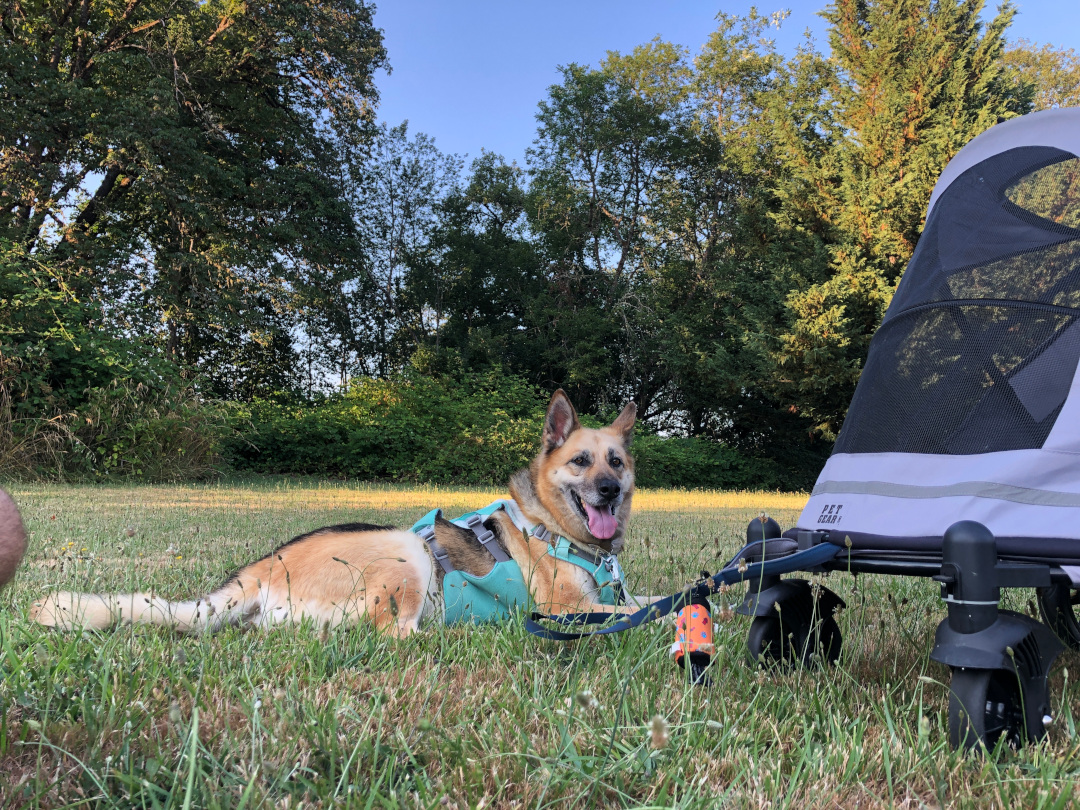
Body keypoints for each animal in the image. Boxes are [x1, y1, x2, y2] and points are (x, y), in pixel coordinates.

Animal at [33, 390, 652, 635]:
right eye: (580, 461)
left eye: (617, 462)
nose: (605, 491)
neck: (553, 525)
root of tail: (264, 567)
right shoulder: (567, 609)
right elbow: (630, 611)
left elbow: (644, 598)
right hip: (407, 552)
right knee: (392, 632)